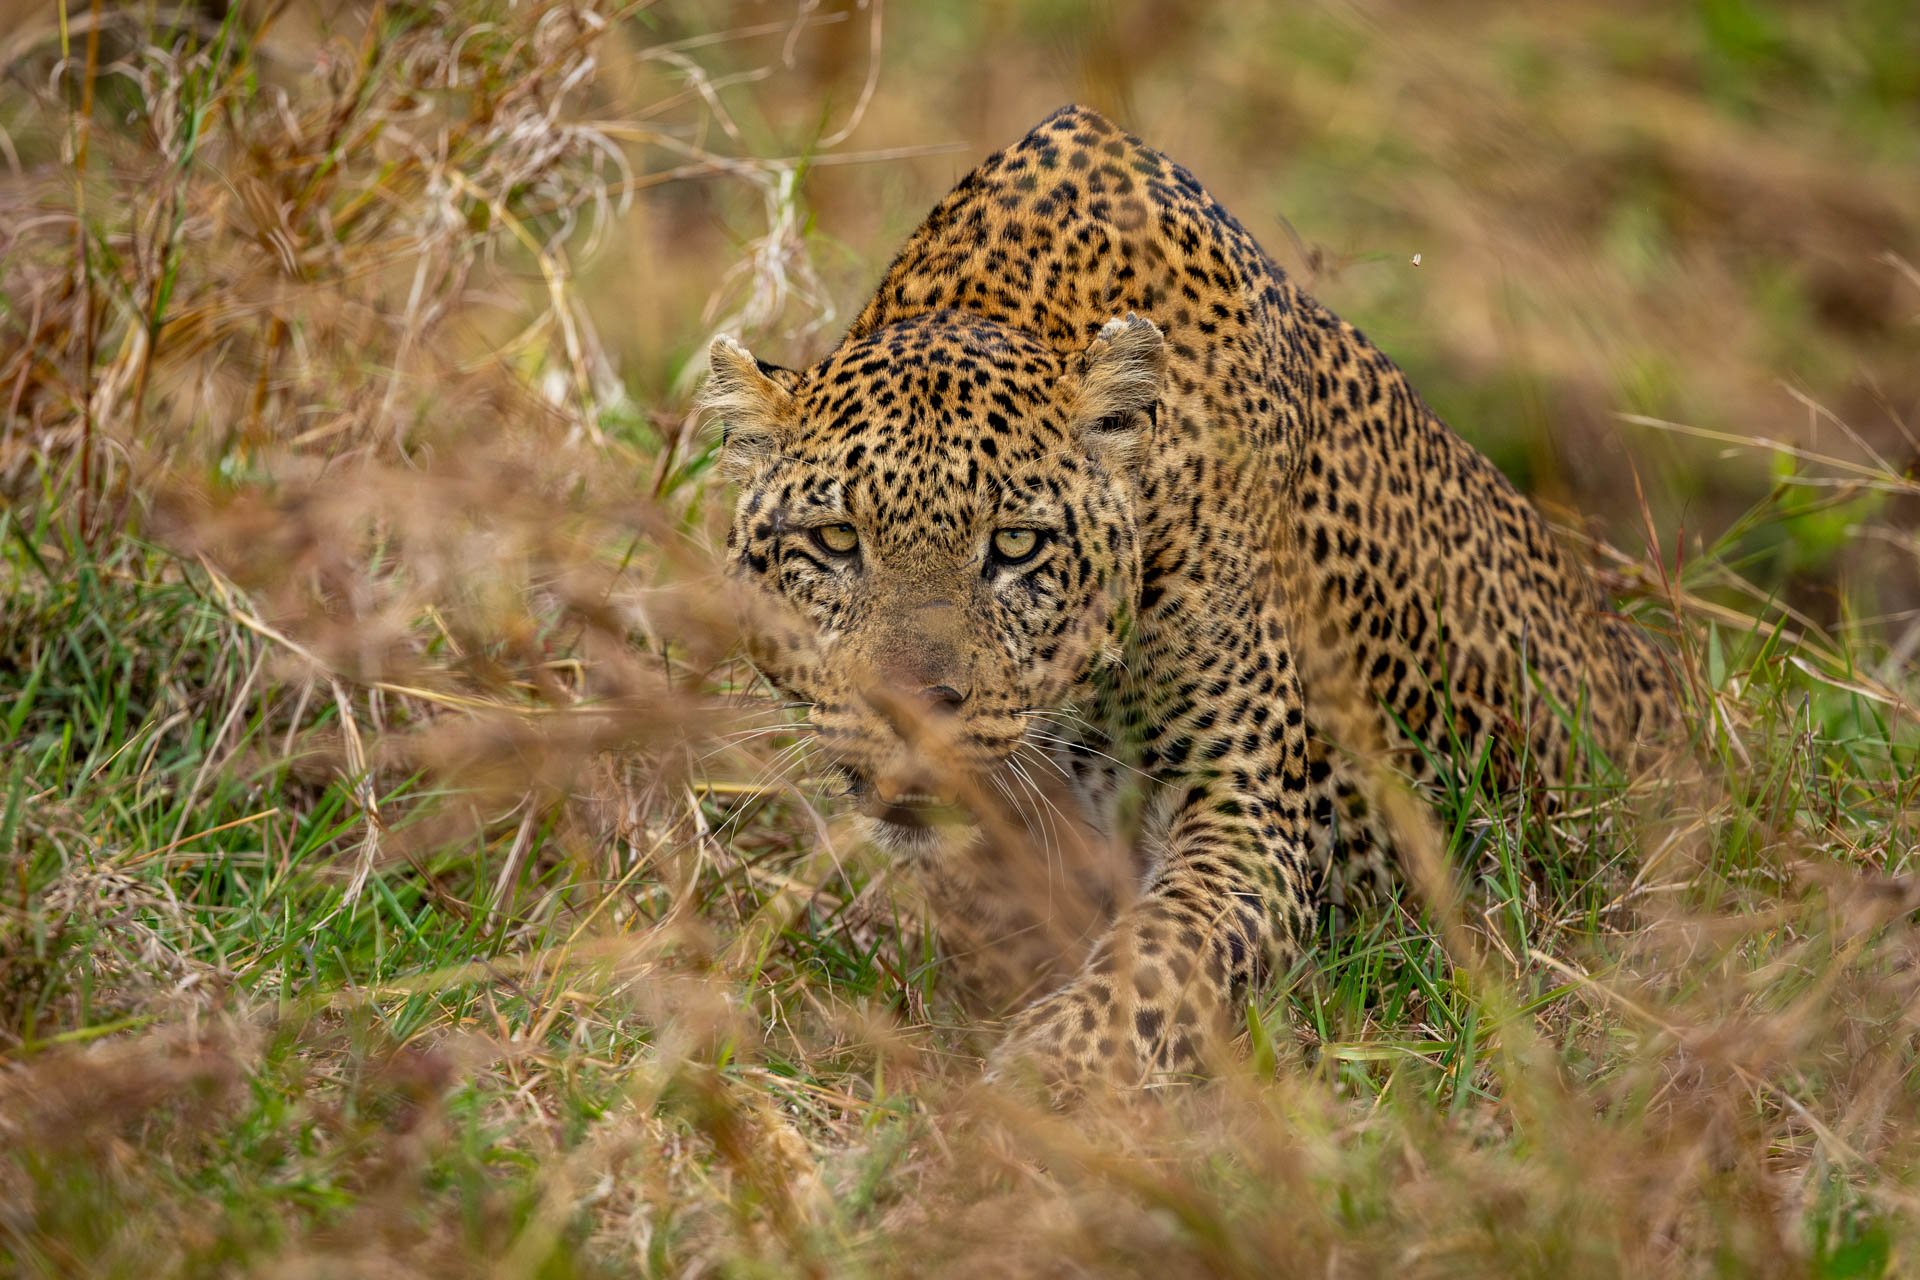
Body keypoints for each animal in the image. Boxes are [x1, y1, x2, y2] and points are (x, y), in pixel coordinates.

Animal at [698, 105, 1674, 1097]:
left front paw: (1044, 1081)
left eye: (1015, 546)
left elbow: (1159, 962)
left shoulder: (1252, 816)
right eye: (834, 541)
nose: (907, 710)